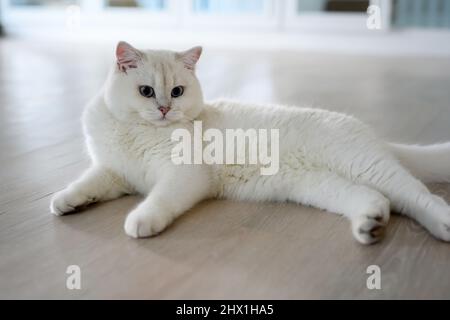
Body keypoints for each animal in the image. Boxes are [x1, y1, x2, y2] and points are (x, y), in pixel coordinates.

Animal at [50, 42, 450, 245]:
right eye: (146, 91)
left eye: (177, 91)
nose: (164, 108)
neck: (139, 131)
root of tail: (369, 132)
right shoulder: (113, 172)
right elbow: (86, 183)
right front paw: (66, 201)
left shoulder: (183, 175)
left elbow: (159, 200)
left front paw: (141, 220)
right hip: (323, 187)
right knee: (375, 200)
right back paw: (370, 226)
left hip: (366, 165)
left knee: (418, 196)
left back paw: (442, 224)